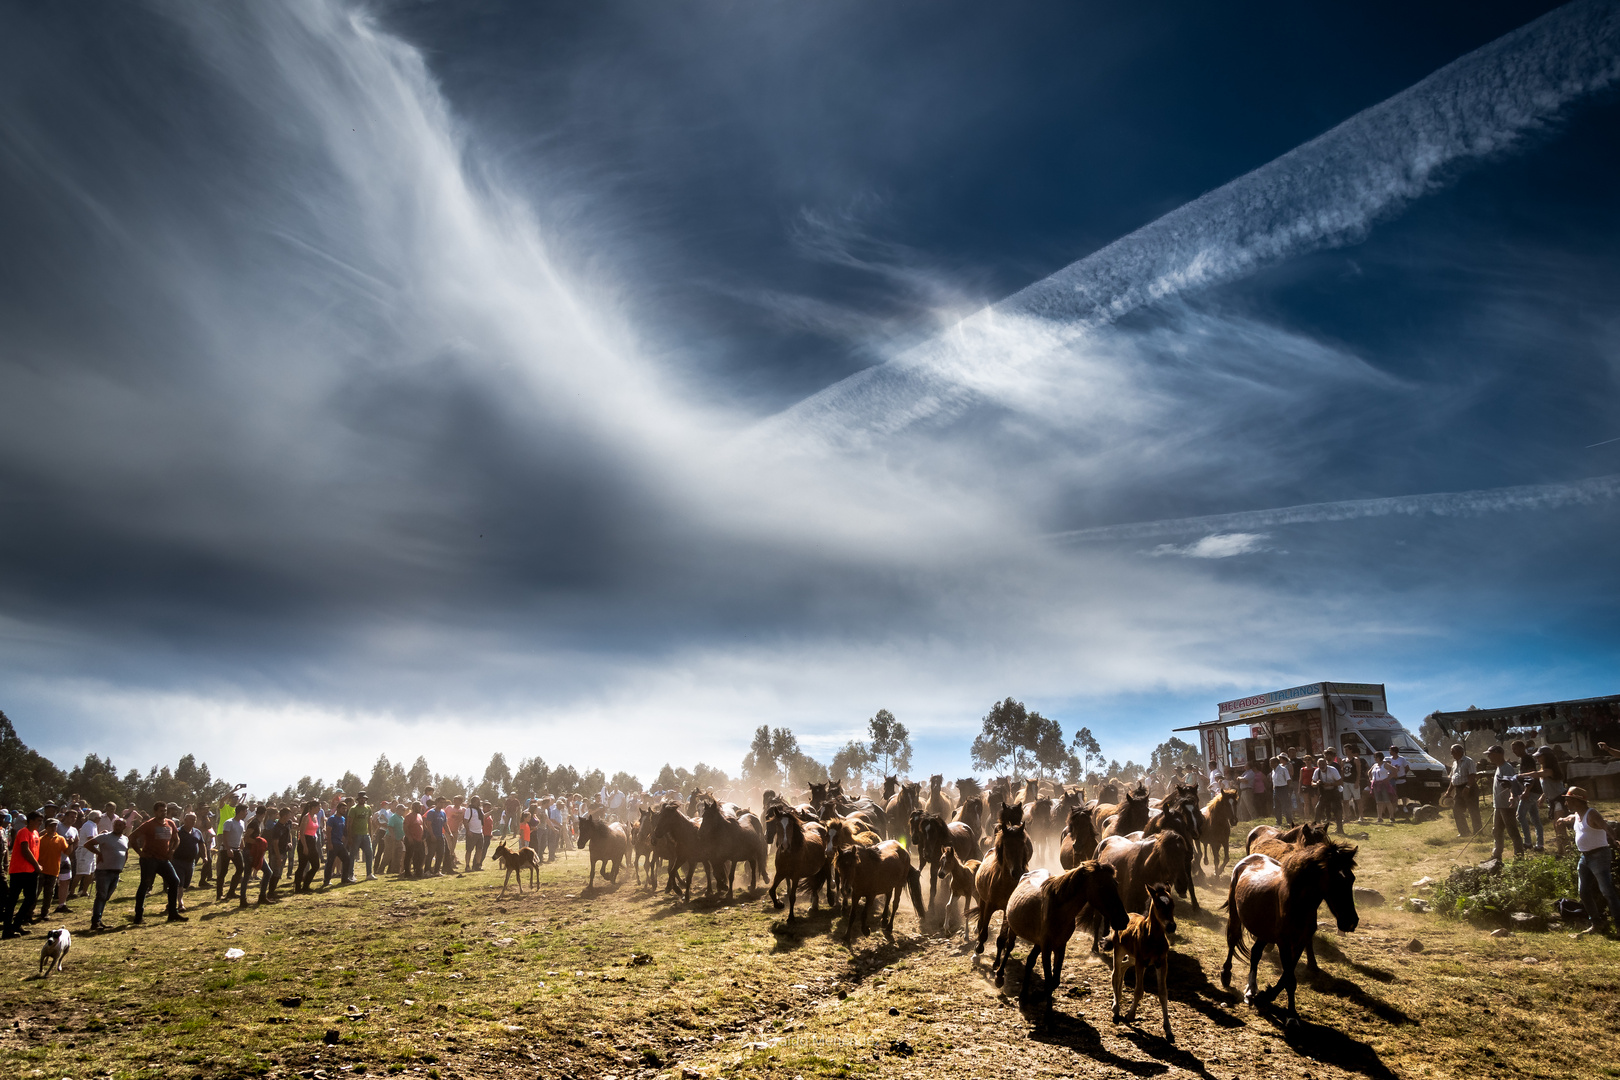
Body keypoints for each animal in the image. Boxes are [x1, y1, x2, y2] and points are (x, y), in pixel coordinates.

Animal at [991, 854, 1134, 1003]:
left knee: (1030, 960)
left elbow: (1054, 981)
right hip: (1014, 929)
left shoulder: (1060, 945)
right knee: (1009, 946)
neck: (1058, 911)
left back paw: (1023, 994)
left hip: (1038, 942)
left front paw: (1034, 995)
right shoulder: (1047, 948)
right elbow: (1049, 981)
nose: (1124, 920)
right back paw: (999, 977)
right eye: (1101, 886)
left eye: (1116, 884)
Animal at [1114, 880, 1179, 1042]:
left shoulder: (1161, 962)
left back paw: (1119, 997)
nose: (1171, 926)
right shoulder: (1141, 962)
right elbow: (1138, 990)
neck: (1153, 938)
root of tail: (1128, 914)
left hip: (1132, 957)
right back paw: (1116, 1010)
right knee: (1115, 973)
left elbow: (1163, 993)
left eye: (1173, 905)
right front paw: (1130, 1016)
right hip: (1119, 951)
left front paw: (1168, 1030)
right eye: (1158, 905)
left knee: (1123, 968)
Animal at [1218, 841, 1360, 1029]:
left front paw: (1266, 996)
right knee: (1233, 940)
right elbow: (1290, 979)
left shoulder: (1299, 942)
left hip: (1264, 930)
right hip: (1236, 915)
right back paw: (1226, 974)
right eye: (1335, 880)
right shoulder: (1284, 942)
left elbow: (1288, 975)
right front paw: (1291, 1015)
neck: (1298, 904)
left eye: (1352, 879)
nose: (1351, 922)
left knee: (1255, 953)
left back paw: (1251, 990)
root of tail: (1249, 859)